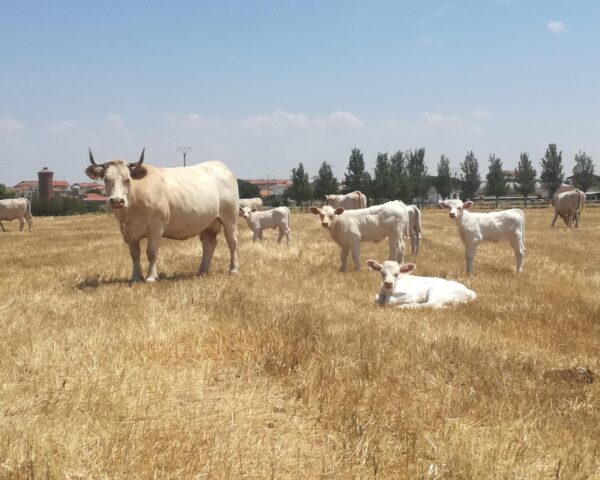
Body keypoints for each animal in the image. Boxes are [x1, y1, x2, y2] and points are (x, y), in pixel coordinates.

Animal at [85, 149, 240, 282]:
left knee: (232, 242)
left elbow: (151, 252)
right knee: (209, 243)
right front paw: (136, 277)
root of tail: (220, 165)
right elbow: (135, 254)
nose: (117, 200)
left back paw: (233, 269)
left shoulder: (156, 227)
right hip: (208, 222)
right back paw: (202, 271)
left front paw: (151, 277)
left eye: (127, 179)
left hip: (230, 217)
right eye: (106, 179)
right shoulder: (129, 231)